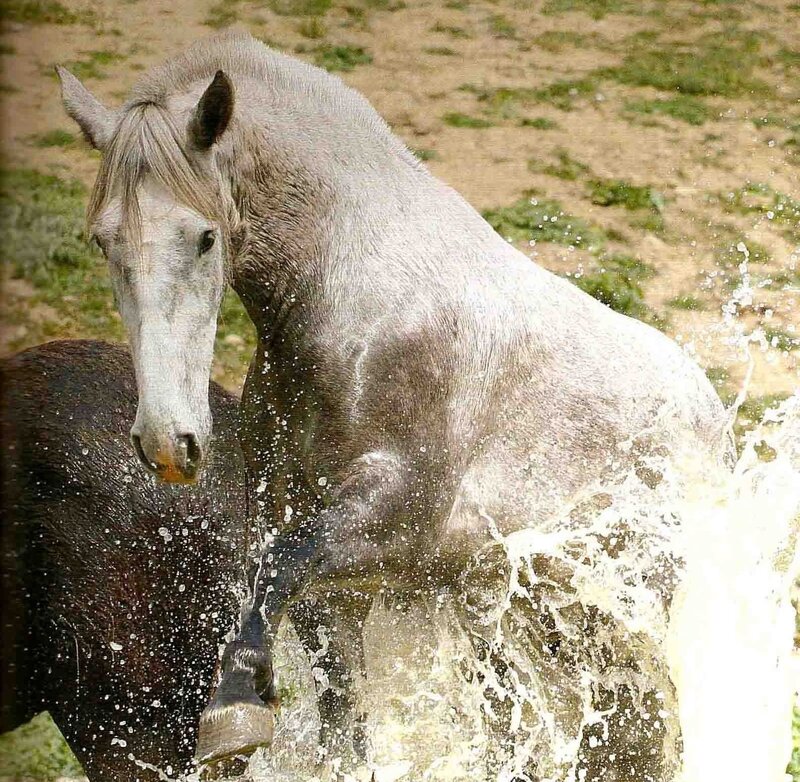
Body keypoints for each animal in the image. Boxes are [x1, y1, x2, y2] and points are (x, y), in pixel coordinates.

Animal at [57, 30, 731, 779]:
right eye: (104, 240)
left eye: (204, 237)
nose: (167, 444)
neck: (357, 297)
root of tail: (712, 422)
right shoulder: (314, 565)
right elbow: (333, 698)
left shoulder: (390, 522)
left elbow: (279, 568)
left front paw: (232, 712)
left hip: (612, 629)